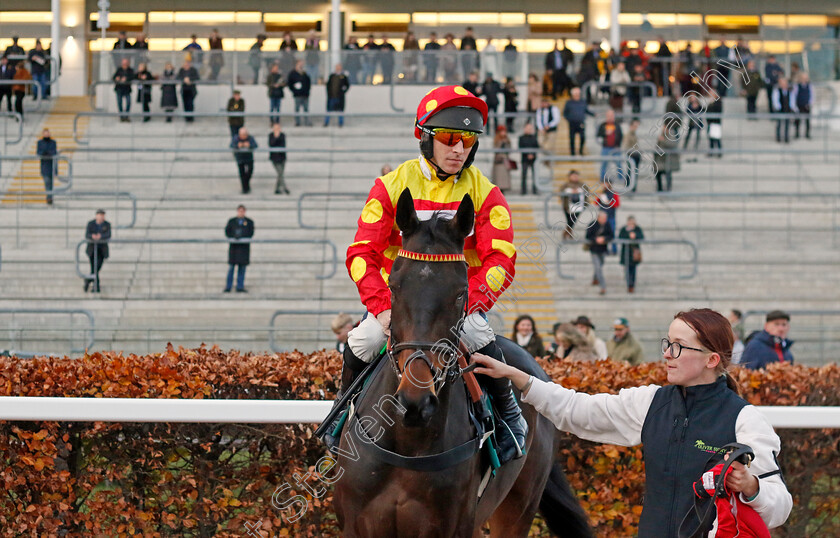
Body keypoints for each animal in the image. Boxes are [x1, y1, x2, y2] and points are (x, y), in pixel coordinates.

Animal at [332, 186, 592, 532]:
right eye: (394, 287)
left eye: (459, 293)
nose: (415, 402)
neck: (408, 442)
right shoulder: (357, 524)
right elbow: (364, 249)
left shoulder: (452, 525)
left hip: (518, 508)